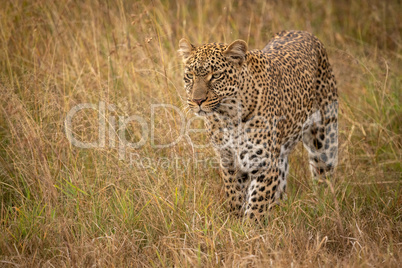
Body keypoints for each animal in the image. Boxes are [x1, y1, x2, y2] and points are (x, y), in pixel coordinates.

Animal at [177, 30, 338, 221]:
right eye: (190, 76)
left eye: (215, 75)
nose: (197, 100)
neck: (229, 116)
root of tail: (304, 32)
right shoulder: (228, 161)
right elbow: (235, 196)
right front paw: (235, 221)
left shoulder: (264, 164)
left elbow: (256, 206)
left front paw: (249, 227)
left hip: (324, 137)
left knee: (323, 175)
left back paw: (323, 206)